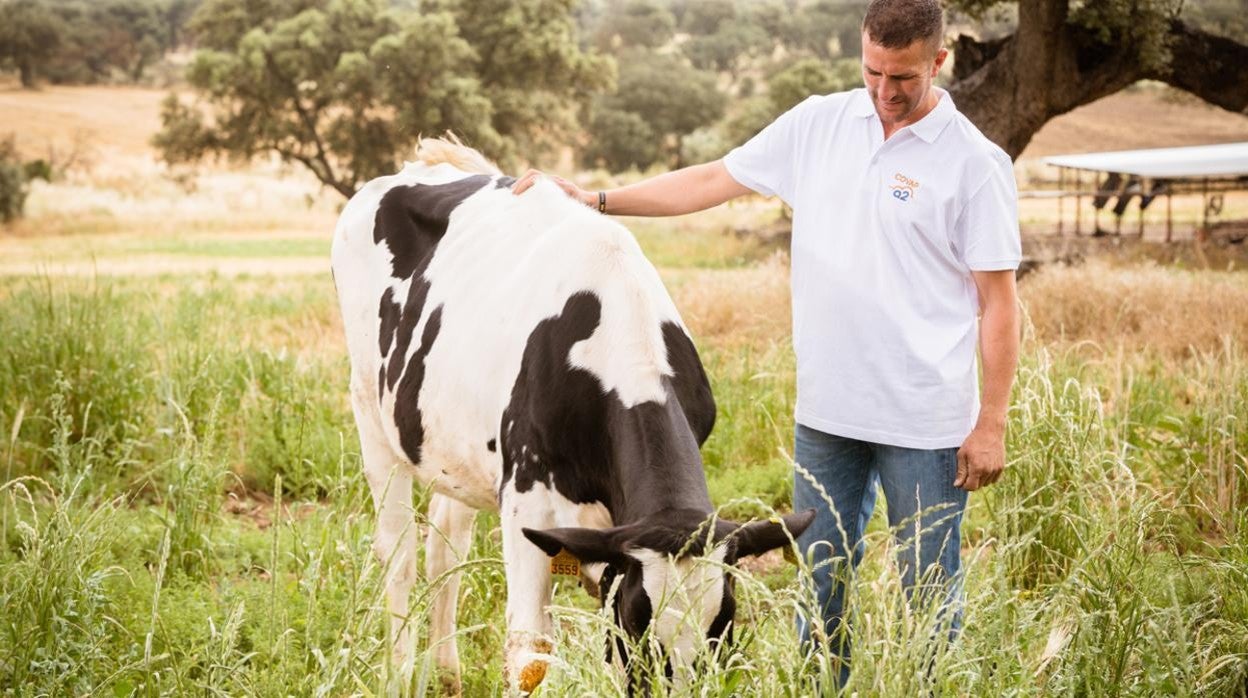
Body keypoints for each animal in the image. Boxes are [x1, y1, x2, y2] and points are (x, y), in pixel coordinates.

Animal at [331, 137, 813, 694]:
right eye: (637, 621)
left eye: (725, 623)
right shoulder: (527, 504)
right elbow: (530, 656)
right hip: (369, 411)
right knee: (400, 554)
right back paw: (401, 674)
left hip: (452, 443)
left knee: (445, 546)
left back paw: (448, 673)